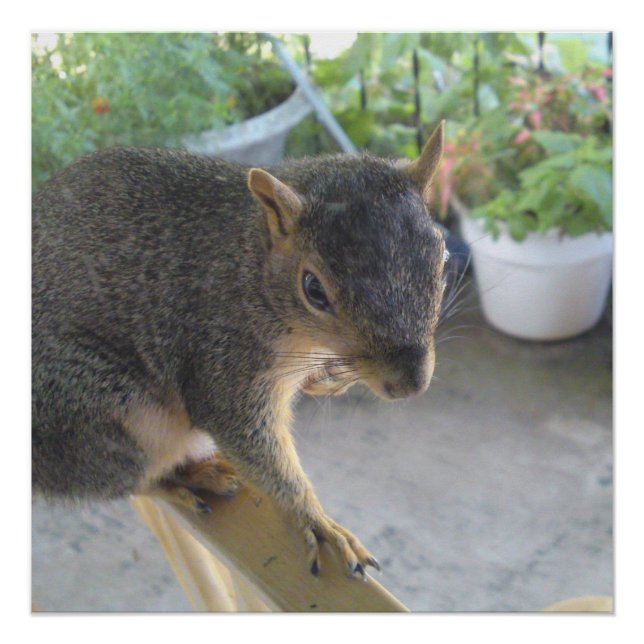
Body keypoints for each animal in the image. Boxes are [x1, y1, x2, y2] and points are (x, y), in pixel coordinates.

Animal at [32, 121, 446, 579]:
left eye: (442, 252)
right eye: (313, 289)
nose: (409, 384)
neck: (250, 263)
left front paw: (331, 377)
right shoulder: (224, 361)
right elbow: (256, 447)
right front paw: (317, 521)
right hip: (103, 412)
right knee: (129, 481)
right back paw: (189, 482)